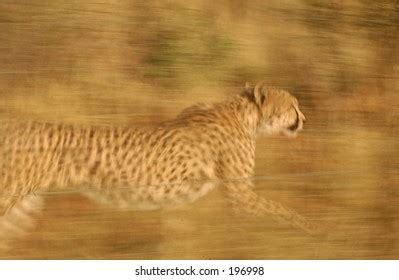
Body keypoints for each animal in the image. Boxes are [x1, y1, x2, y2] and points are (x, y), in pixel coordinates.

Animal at [0, 81, 316, 247]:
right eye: (292, 106)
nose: (304, 119)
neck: (247, 117)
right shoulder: (241, 195)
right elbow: (280, 210)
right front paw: (309, 229)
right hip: (10, 195)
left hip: (24, 203)